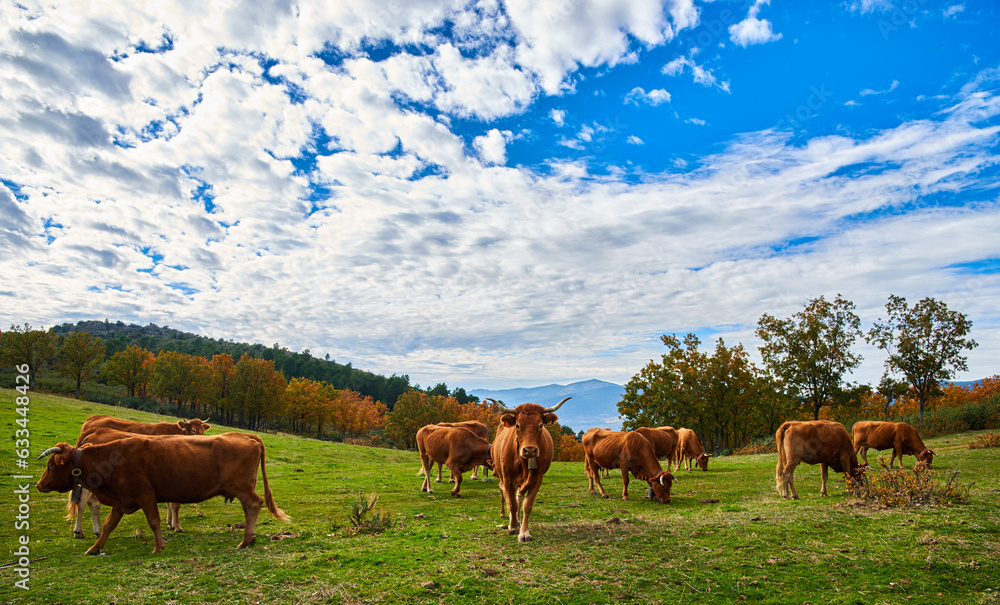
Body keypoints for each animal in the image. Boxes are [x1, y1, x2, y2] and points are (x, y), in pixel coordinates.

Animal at [37, 432, 288, 554]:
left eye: (50, 466)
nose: (39, 485)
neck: (112, 458)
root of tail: (246, 436)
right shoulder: (122, 499)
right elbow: (109, 525)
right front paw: (95, 548)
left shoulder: (146, 496)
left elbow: (154, 521)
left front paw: (158, 547)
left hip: (242, 488)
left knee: (253, 504)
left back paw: (246, 541)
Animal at [69, 415, 211, 538]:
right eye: (193, 430)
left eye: (203, 431)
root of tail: (95, 429)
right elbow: (175, 505)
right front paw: (177, 526)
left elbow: (170, 503)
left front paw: (170, 523)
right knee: (82, 501)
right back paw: (79, 531)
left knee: (91, 502)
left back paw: (96, 530)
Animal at [485, 397, 569, 543]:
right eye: (518, 425)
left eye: (540, 425)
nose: (530, 450)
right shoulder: (507, 478)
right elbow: (511, 503)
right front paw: (512, 527)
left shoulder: (537, 478)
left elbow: (527, 505)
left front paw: (524, 532)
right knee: (510, 498)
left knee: (519, 496)